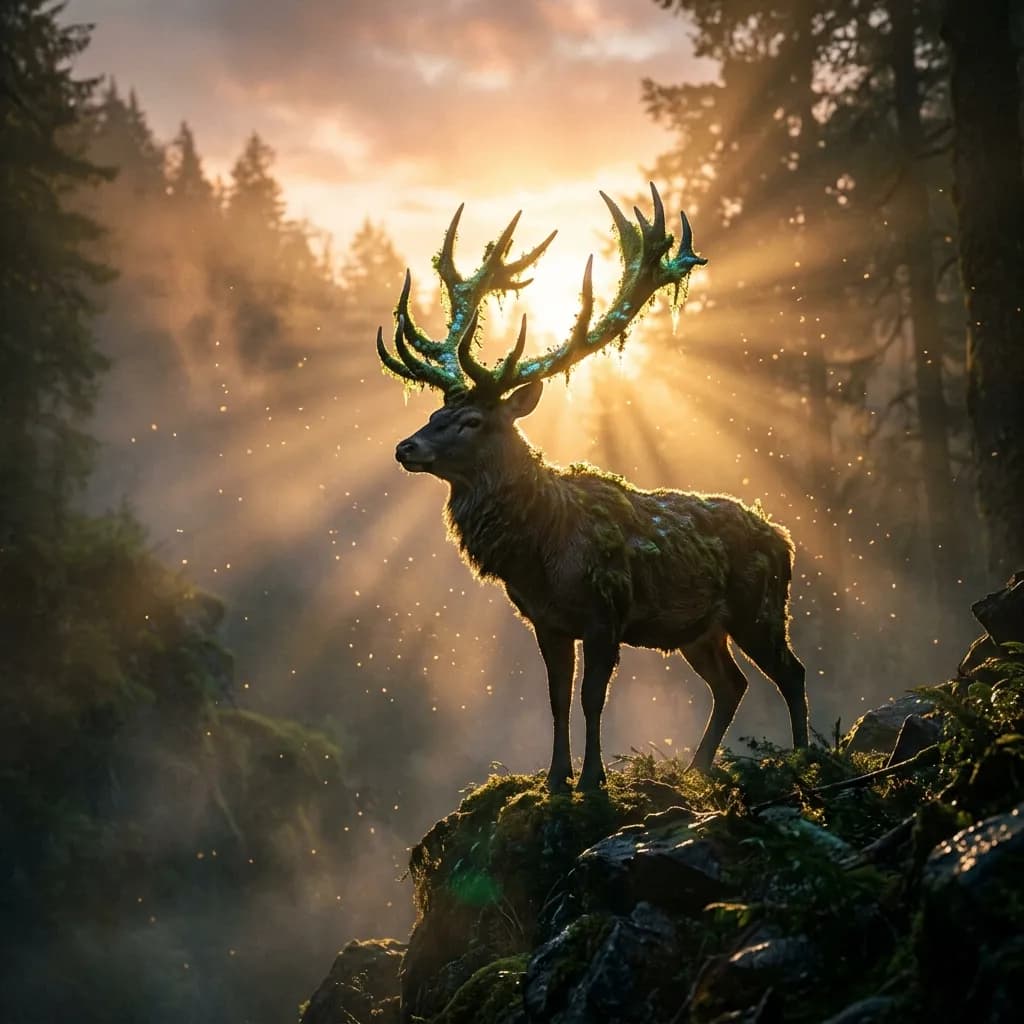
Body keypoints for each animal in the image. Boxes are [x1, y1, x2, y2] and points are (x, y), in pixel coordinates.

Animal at [376, 184, 808, 792]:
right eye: (437, 411)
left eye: (472, 421)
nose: (405, 448)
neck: (541, 554)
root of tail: (786, 541)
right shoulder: (547, 621)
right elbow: (557, 699)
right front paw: (558, 778)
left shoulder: (607, 613)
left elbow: (592, 699)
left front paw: (592, 780)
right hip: (701, 629)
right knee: (732, 684)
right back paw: (696, 768)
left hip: (760, 604)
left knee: (791, 672)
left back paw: (804, 755)